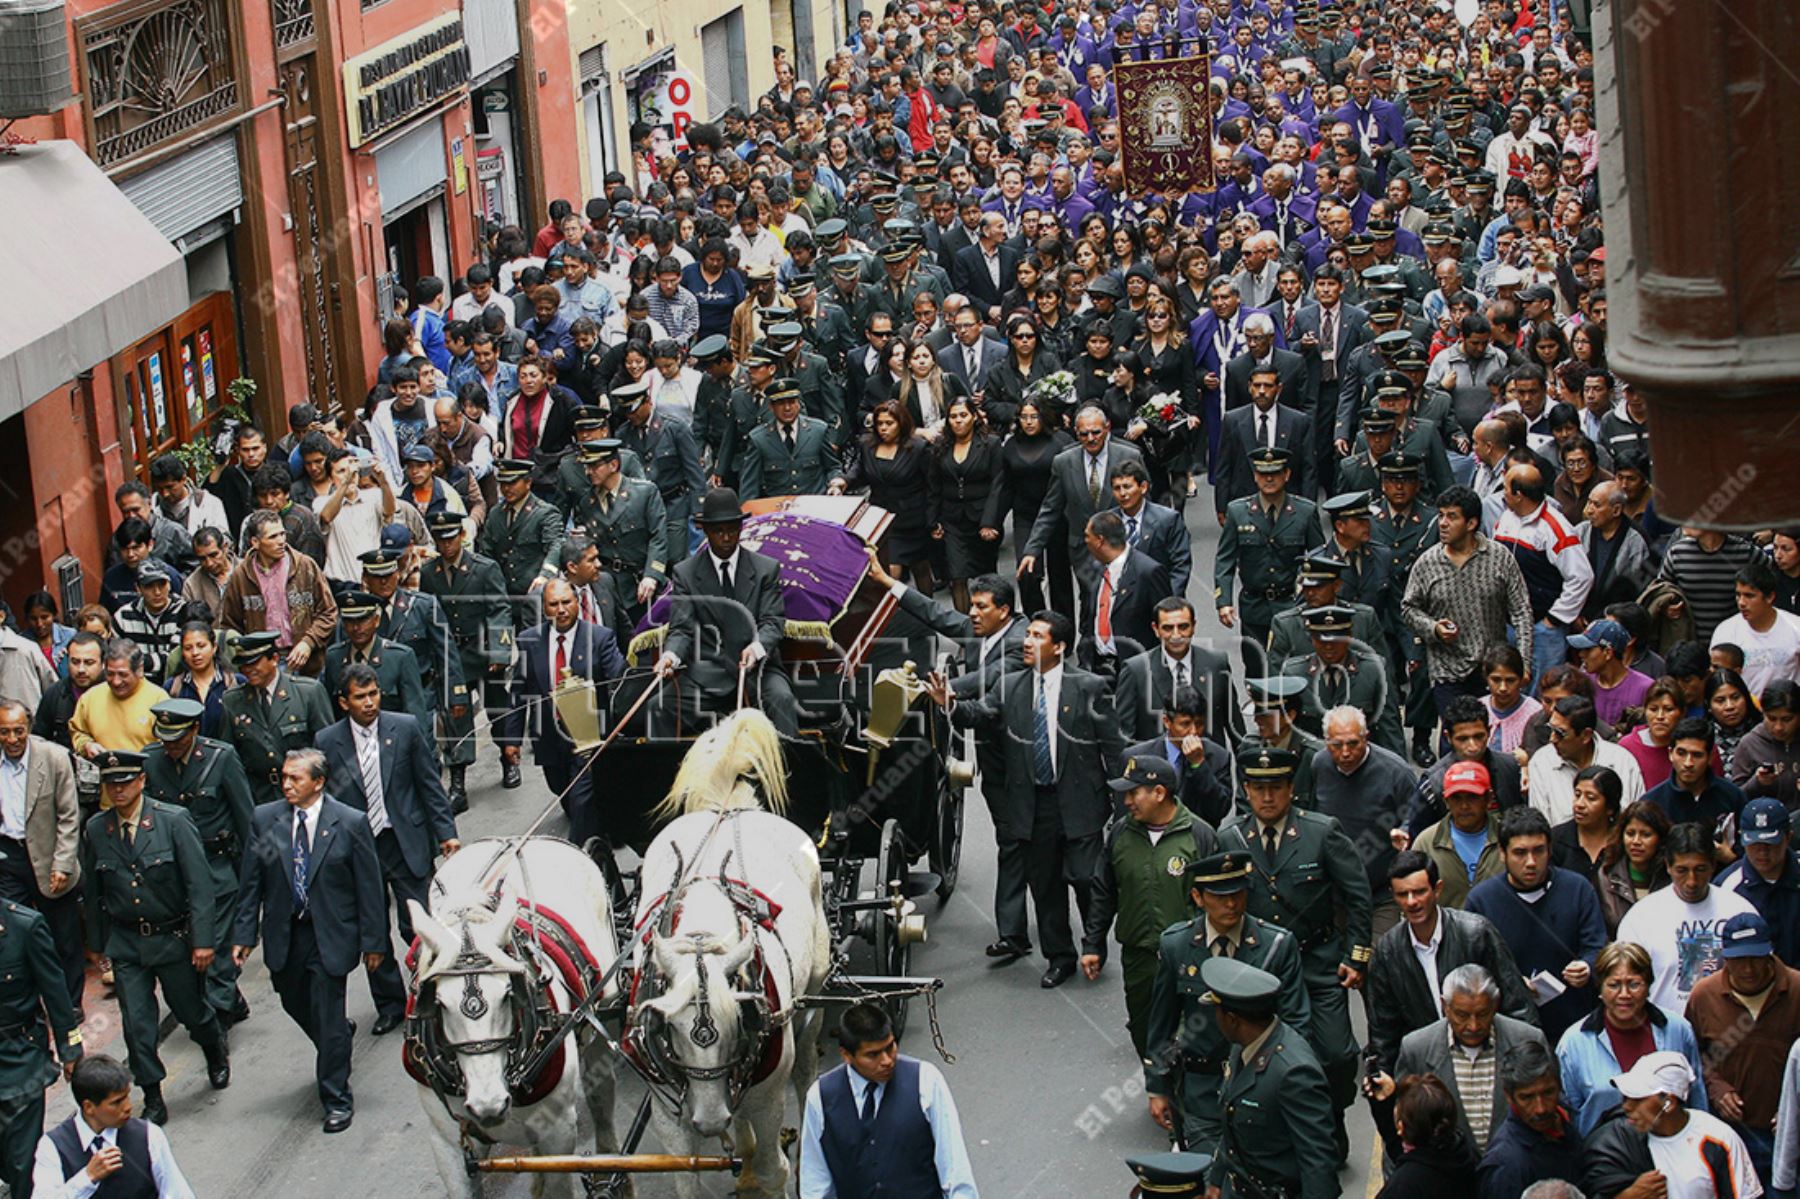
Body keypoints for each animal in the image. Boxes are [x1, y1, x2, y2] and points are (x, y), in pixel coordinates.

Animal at [405, 835, 630, 1188]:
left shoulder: (558, 1132)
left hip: (601, 1021)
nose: (488, 1105)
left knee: (602, 1095)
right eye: (438, 1003)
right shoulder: (447, 1142)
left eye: (508, 994)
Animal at [630, 709, 831, 1195]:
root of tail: (729, 806)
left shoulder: (767, 1095)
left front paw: (776, 1171)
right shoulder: (668, 1109)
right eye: (669, 1031)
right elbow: (685, 1176)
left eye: (738, 1022)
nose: (708, 1120)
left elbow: (775, 1168)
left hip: (813, 996)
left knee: (806, 1066)